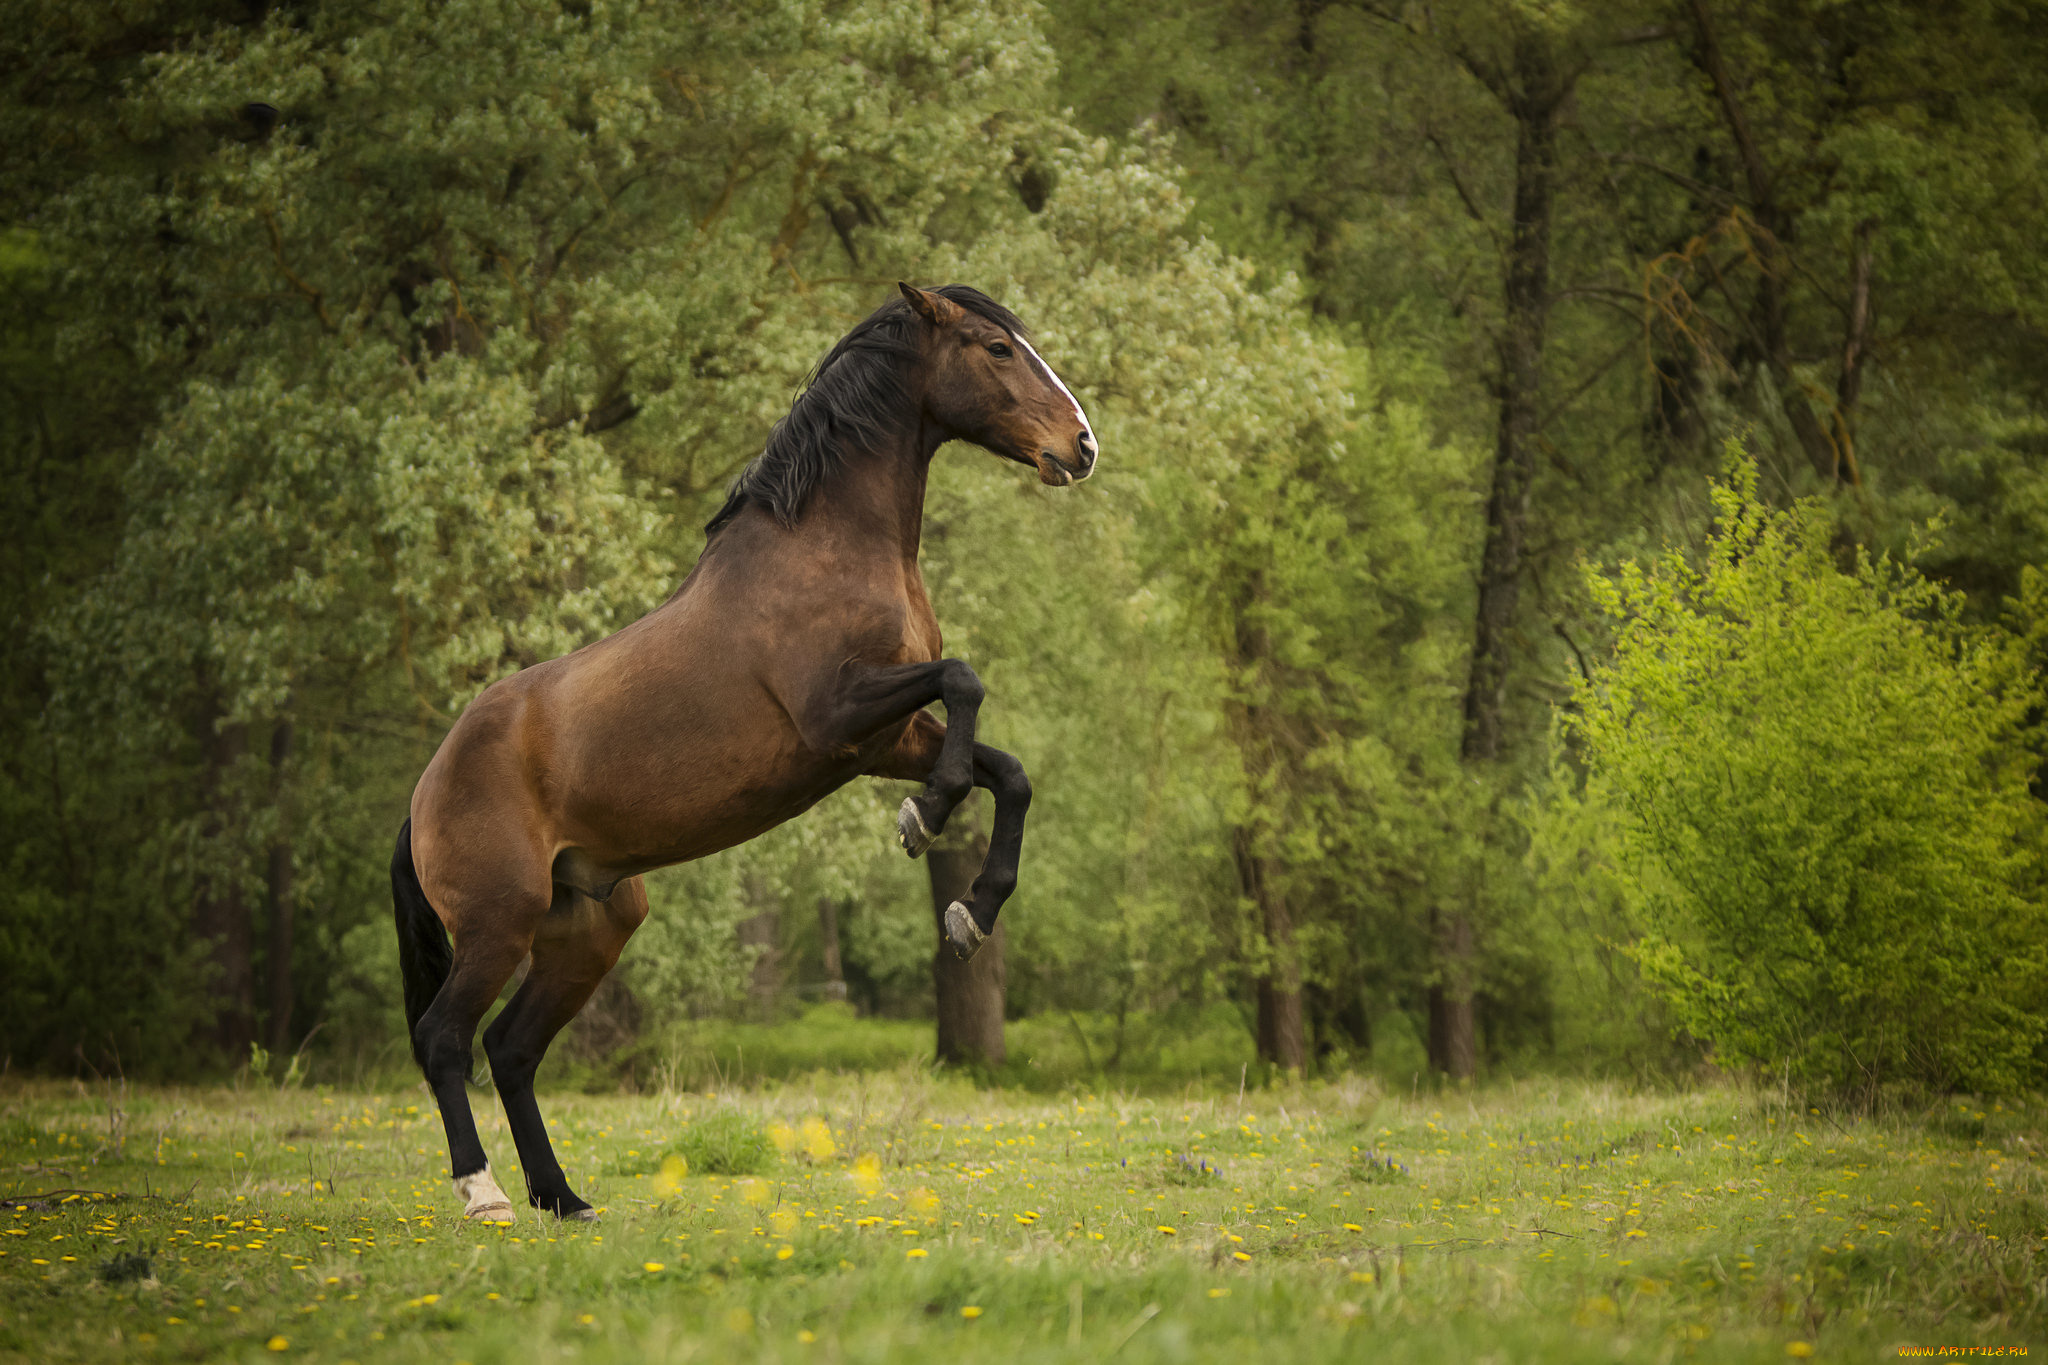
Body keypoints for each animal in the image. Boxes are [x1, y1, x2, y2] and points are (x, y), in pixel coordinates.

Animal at [391, 282, 1097, 1219]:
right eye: (996, 348)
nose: (1081, 445)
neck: (822, 548)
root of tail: (423, 794)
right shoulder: (839, 716)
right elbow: (966, 681)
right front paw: (927, 816)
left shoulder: (879, 739)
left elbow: (1008, 772)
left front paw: (968, 908)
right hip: (496, 925)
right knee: (444, 1036)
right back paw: (487, 1195)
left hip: (588, 928)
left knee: (510, 1046)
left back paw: (564, 1198)